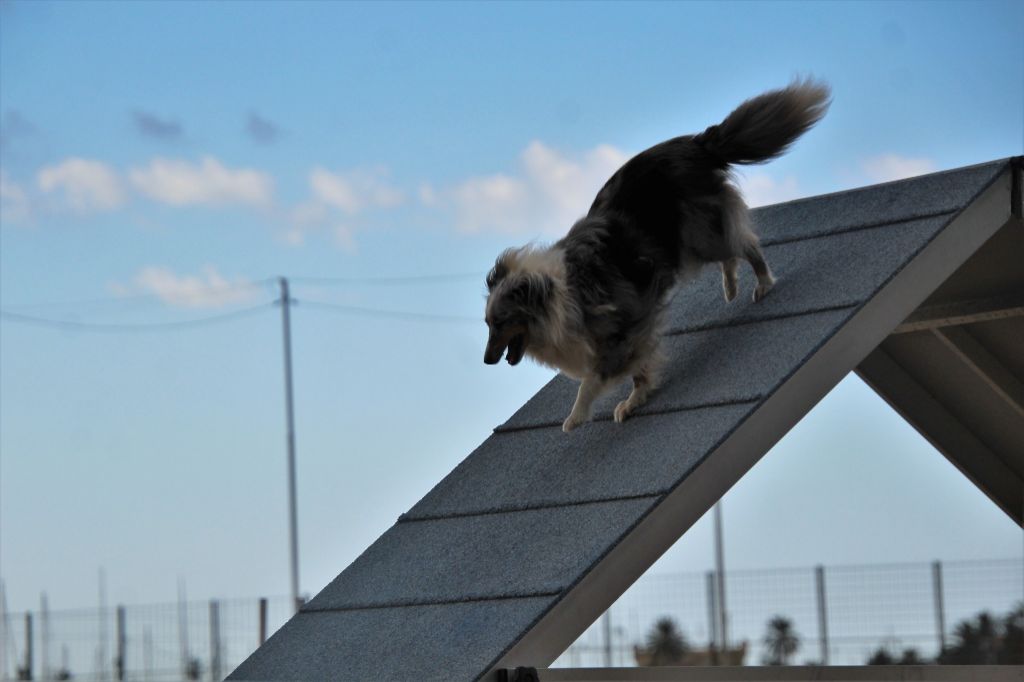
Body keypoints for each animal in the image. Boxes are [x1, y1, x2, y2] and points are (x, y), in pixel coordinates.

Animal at [483, 79, 827, 430]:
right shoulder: (627, 330)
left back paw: (763, 283)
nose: (487, 360)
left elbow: (595, 378)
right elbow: (638, 368)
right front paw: (635, 399)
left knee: (746, 244)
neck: (556, 295)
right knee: (731, 251)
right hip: (691, 241)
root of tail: (696, 143)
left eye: (501, 322)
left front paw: (576, 416)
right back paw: (731, 288)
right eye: (487, 323)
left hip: (699, 233)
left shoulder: (625, 325)